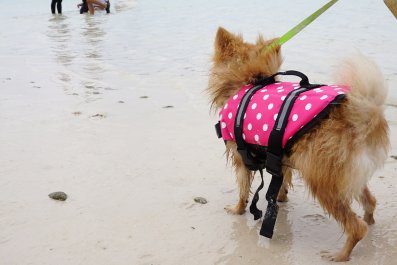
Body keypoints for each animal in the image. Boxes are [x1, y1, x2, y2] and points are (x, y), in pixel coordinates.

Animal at [209, 26, 388, 260]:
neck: (252, 80)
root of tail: (364, 119)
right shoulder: (280, 155)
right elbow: (282, 180)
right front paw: (281, 197)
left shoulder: (241, 158)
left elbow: (243, 188)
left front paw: (237, 209)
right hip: (348, 177)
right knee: (370, 202)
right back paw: (370, 223)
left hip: (322, 181)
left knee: (355, 227)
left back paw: (341, 254)